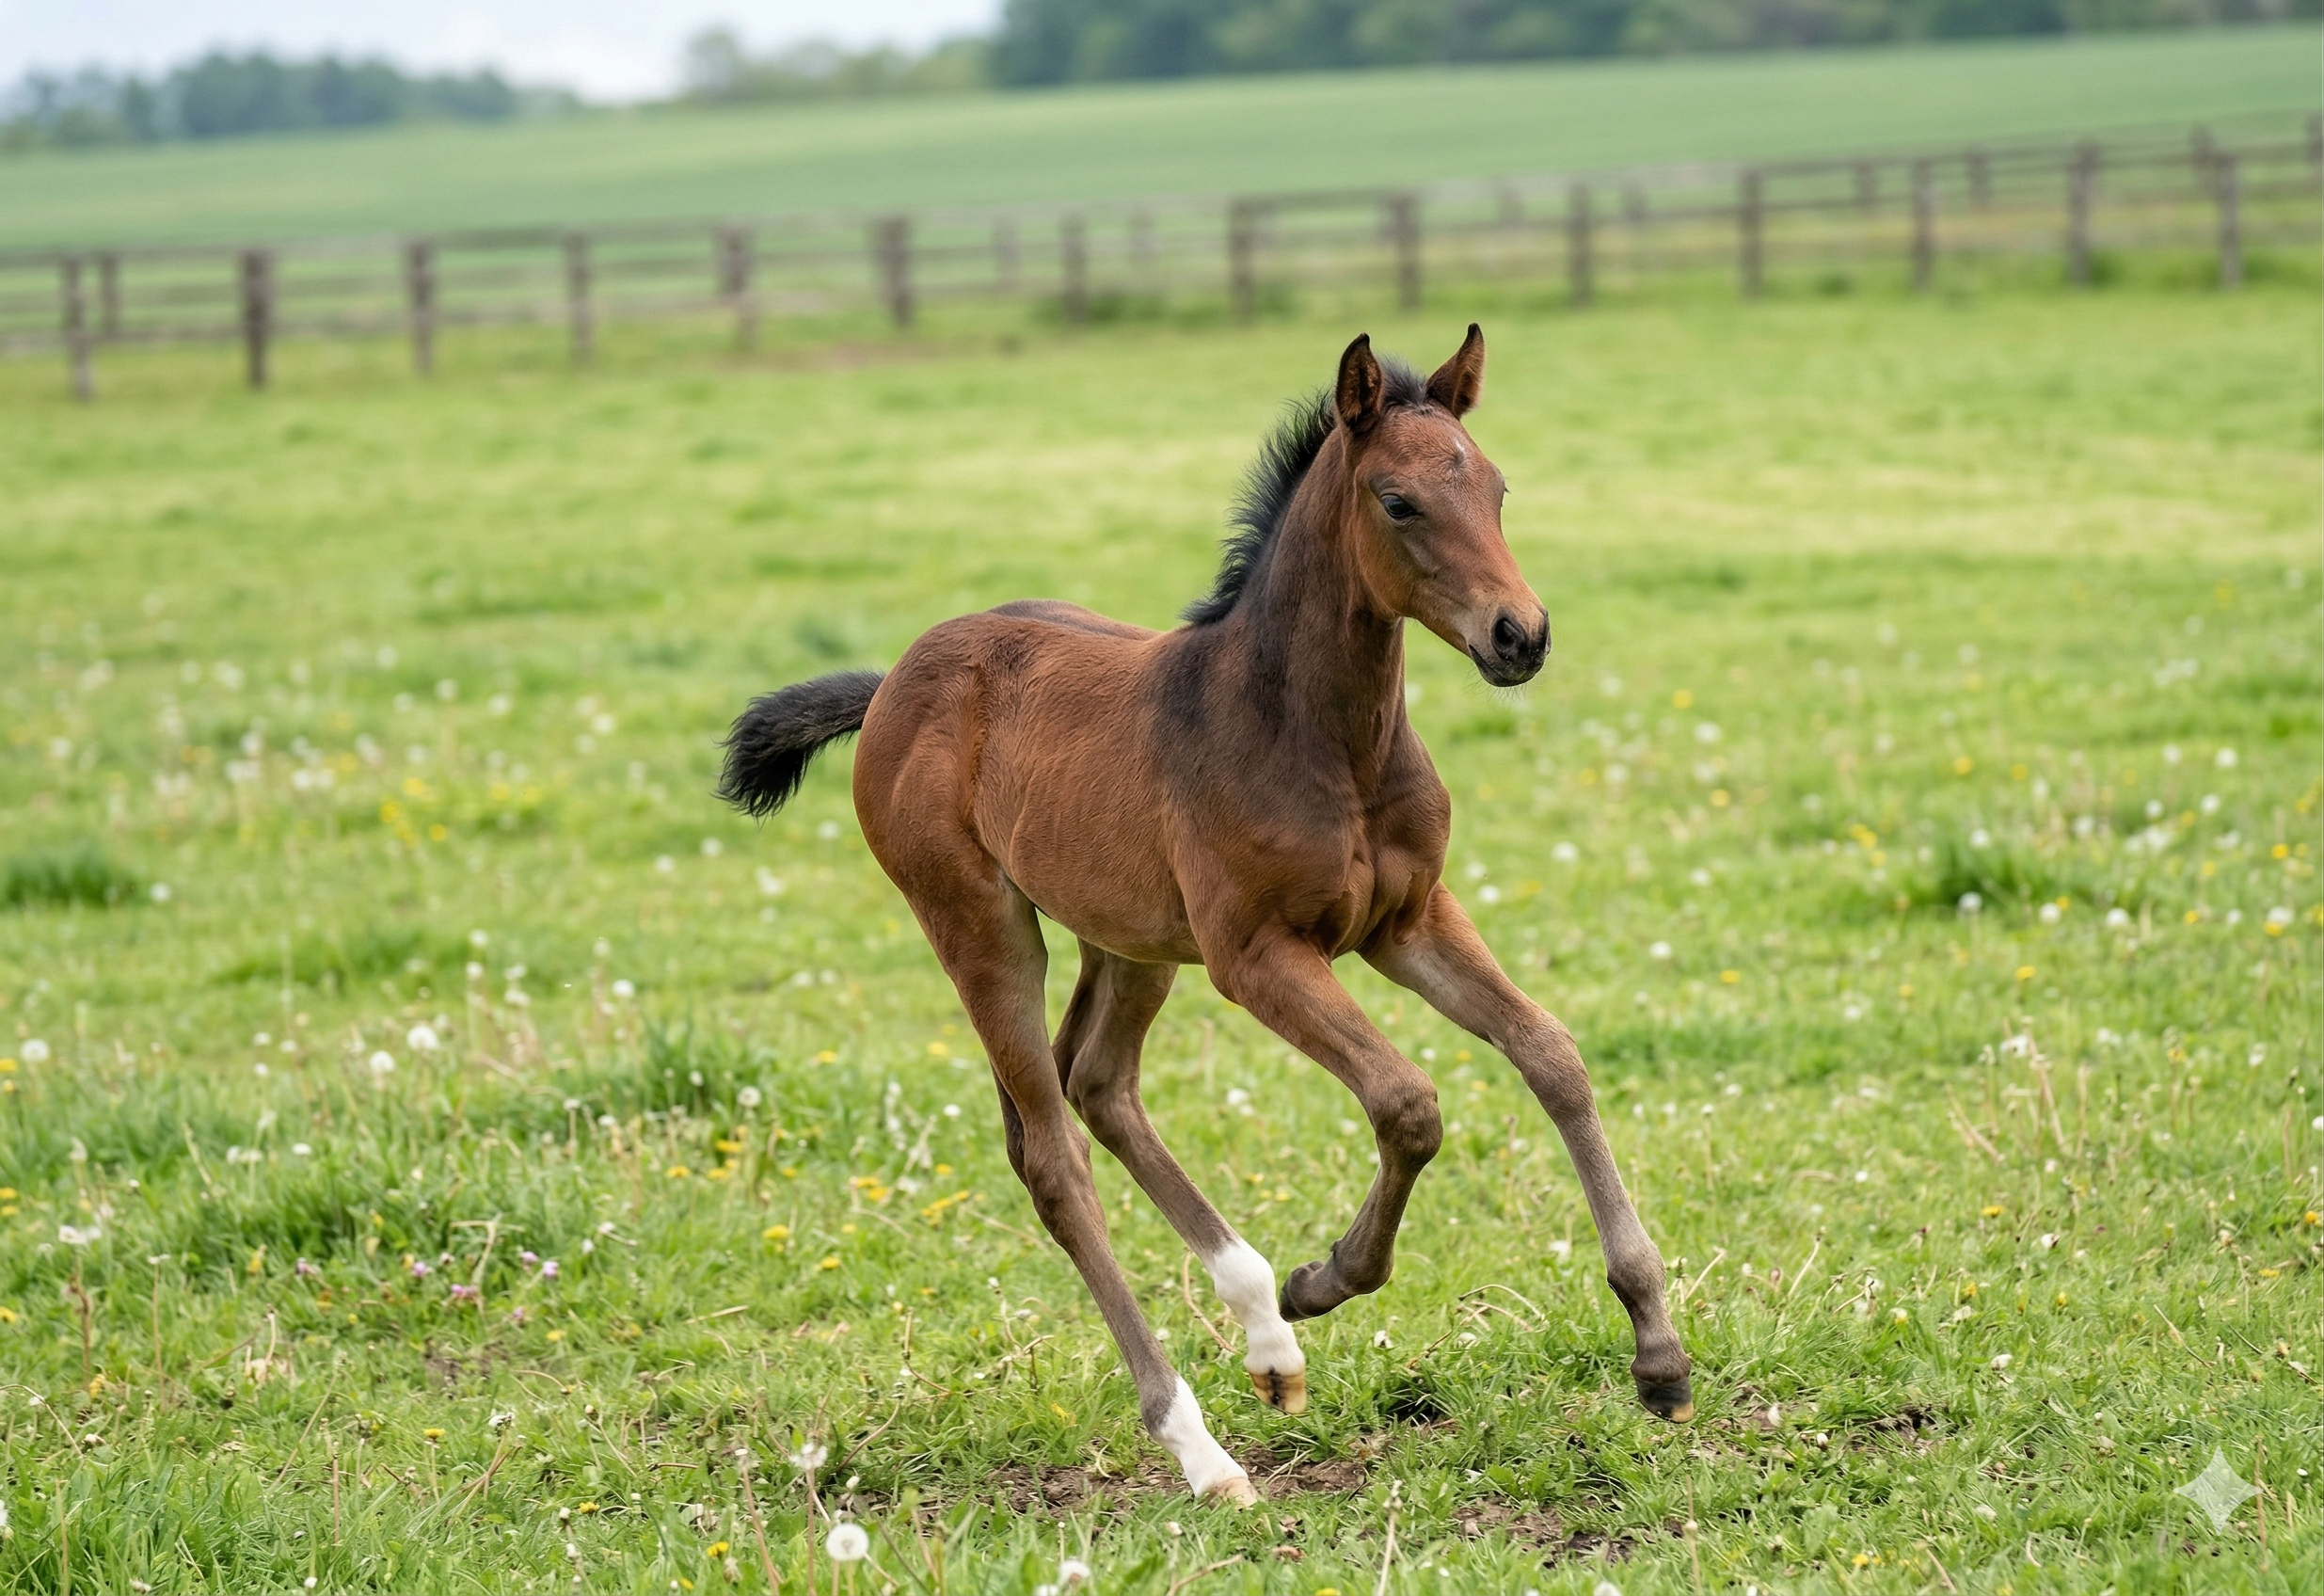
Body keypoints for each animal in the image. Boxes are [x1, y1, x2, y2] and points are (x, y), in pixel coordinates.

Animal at [719, 326, 1693, 1506]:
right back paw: (1204, 1444)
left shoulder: (1409, 917)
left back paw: (1264, 1333)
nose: (1521, 636)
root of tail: (895, 680)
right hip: (980, 924)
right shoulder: (1255, 953)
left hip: (1128, 934)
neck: (1315, 731)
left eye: (1498, 488)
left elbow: (1550, 1053)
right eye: (1398, 501)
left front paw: (1658, 1353)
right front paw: (1330, 1274)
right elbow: (1408, 1103)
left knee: (1097, 1081)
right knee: (1054, 1157)